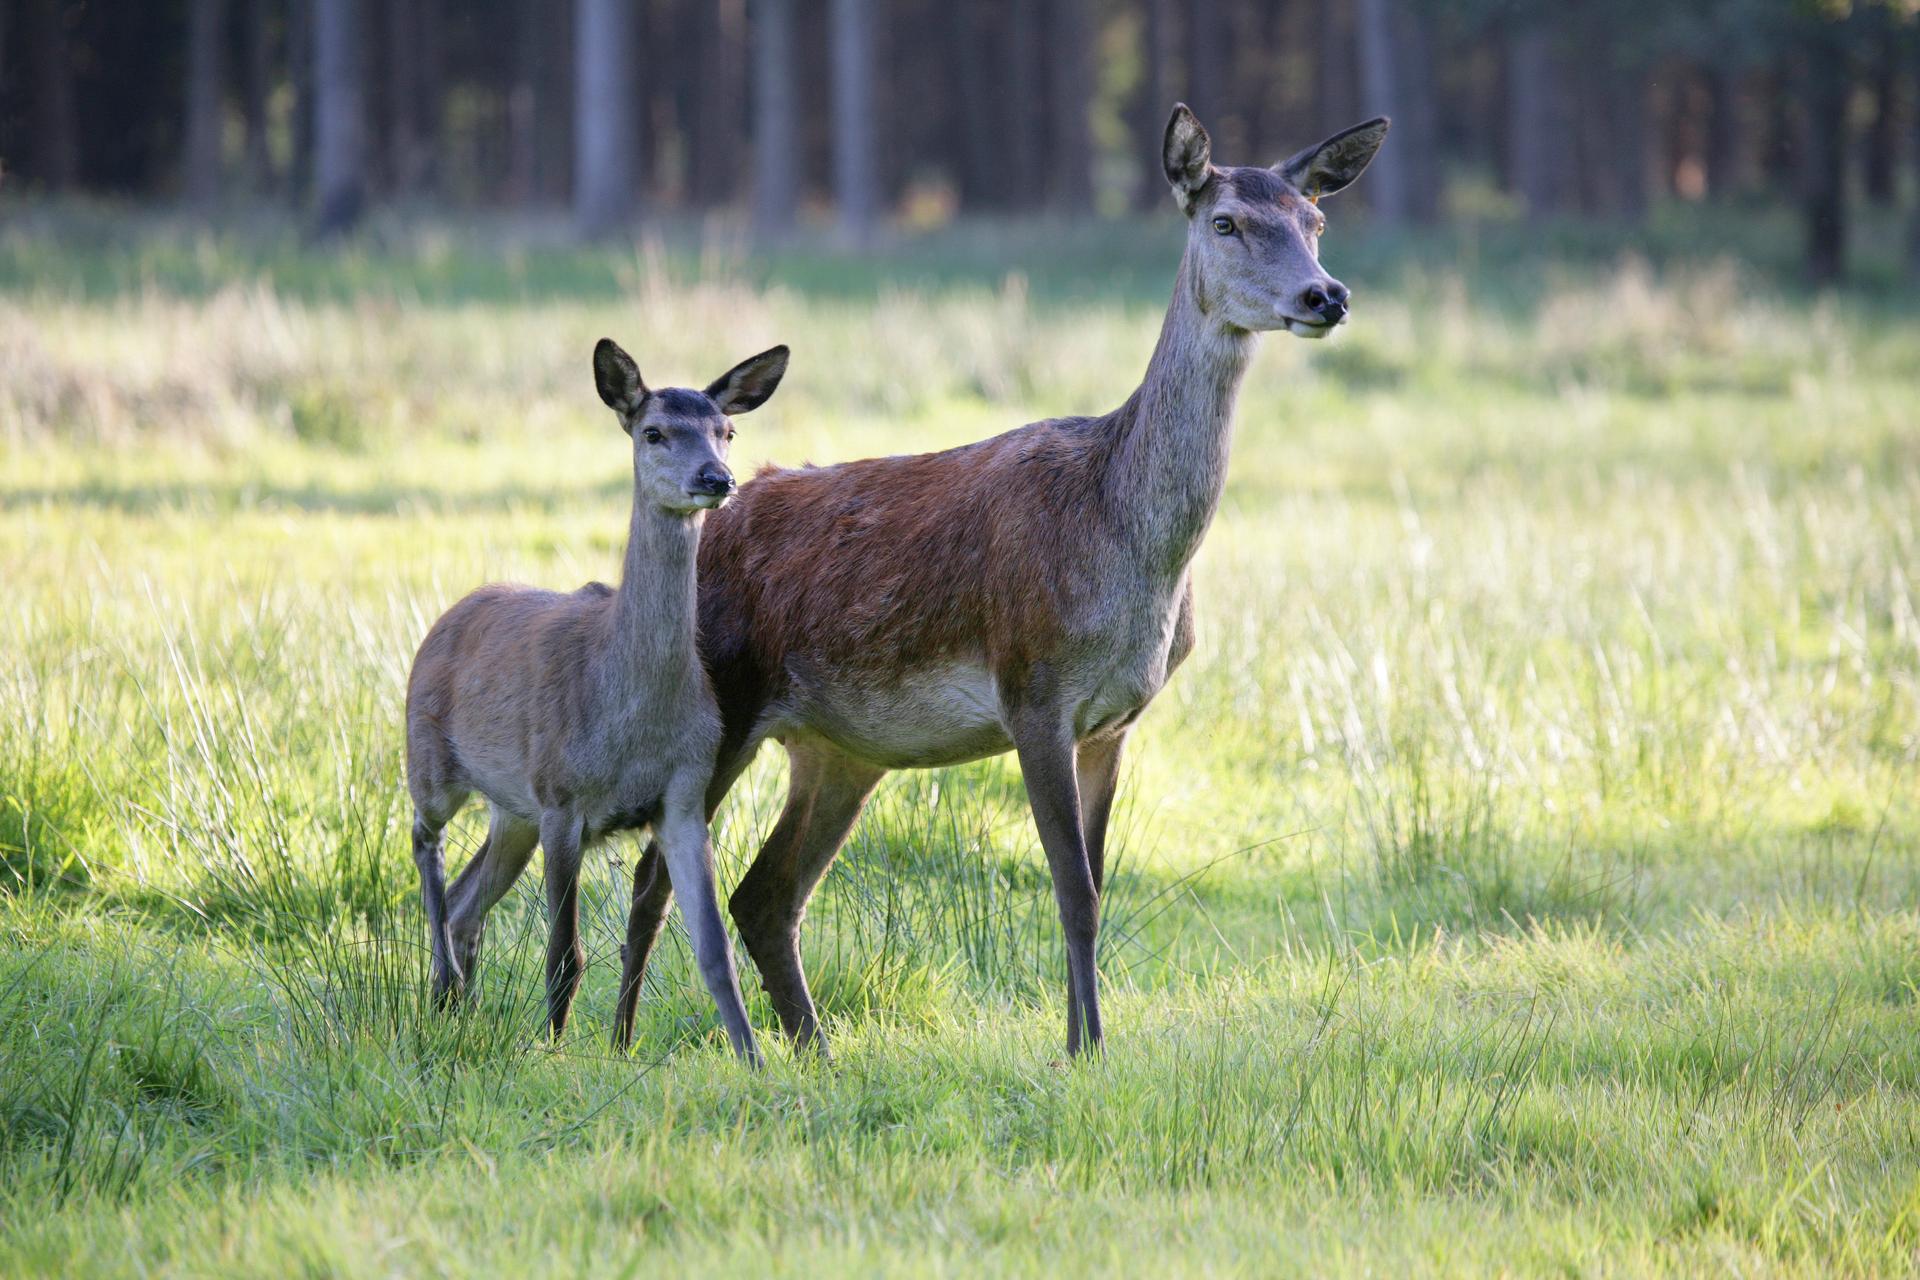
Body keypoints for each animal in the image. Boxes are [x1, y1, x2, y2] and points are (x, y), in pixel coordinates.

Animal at [408, 337, 791, 1059]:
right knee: (426, 845)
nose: (716, 479)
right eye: (654, 431)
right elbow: (565, 953)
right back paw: (445, 983)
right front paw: (552, 1052)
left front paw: (755, 1058)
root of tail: (453, 612)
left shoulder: (684, 793)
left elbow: (714, 951)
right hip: (431, 760)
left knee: (471, 898)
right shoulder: (562, 796)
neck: (627, 714)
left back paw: (455, 1005)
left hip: (513, 811)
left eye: (727, 433)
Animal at [614, 102, 1382, 1059]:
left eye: (1315, 222)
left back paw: (814, 1050)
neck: (1131, 549)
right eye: (1227, 221)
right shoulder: (1033, 688)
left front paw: (1084, 1041)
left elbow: (1094, 884)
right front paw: (1085, 1050)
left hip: (838, 748)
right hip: (721, 702)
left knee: (764, 895)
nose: (1326, 295)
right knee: (655, 872)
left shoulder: (1115, 719)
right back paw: (617, 1041)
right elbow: (1073, 888)